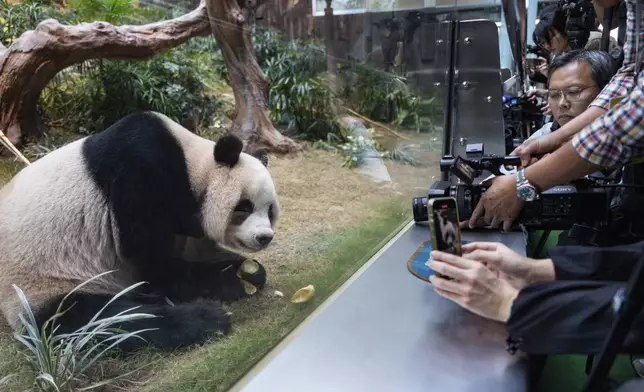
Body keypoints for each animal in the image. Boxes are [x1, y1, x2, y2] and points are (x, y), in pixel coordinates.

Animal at [0, 110, 280, 352]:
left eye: (270, 210)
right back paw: (204, 319)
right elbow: (154, 264)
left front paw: (248, 272)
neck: (192, 167)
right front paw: (228, 282)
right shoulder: (140, 175)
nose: (264, 237)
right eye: (244, 207)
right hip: (47, 282)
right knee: (101, 320)